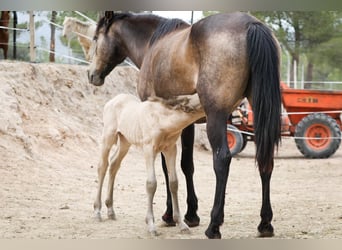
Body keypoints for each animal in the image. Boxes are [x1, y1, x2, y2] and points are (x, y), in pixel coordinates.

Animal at [93, 93, 204, 235]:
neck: (161, 120)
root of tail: (113, 99)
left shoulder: (170, 149)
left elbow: (173, 183)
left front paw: (181, 224)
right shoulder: (149, 149)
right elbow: (151, 184)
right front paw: (151, 225)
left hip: (125, 141)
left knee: (114, 164)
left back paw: (110, 210)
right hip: (108, 137)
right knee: (102, 166)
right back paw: (97, 211)